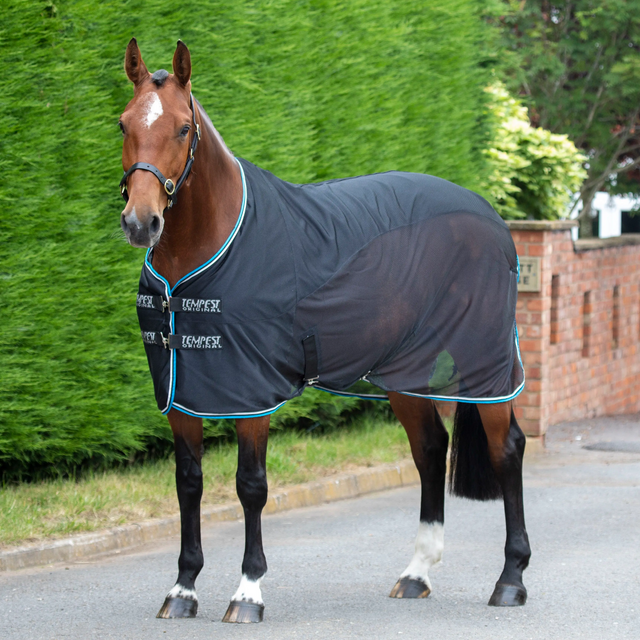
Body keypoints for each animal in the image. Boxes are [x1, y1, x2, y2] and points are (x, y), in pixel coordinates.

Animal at [119, 37, 528, 624]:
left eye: (181, 127)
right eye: (123, 124)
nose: (140, 222)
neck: (210, 248)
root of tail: (488, 214)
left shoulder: (252, 395)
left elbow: (250, 486)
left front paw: (248, 592)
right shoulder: (182, 393)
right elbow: (188, 485)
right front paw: (183, 589)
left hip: (486, 364)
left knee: (507, 450)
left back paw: (511, 579)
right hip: (405, 373)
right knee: (430, 450)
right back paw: (416, 573)